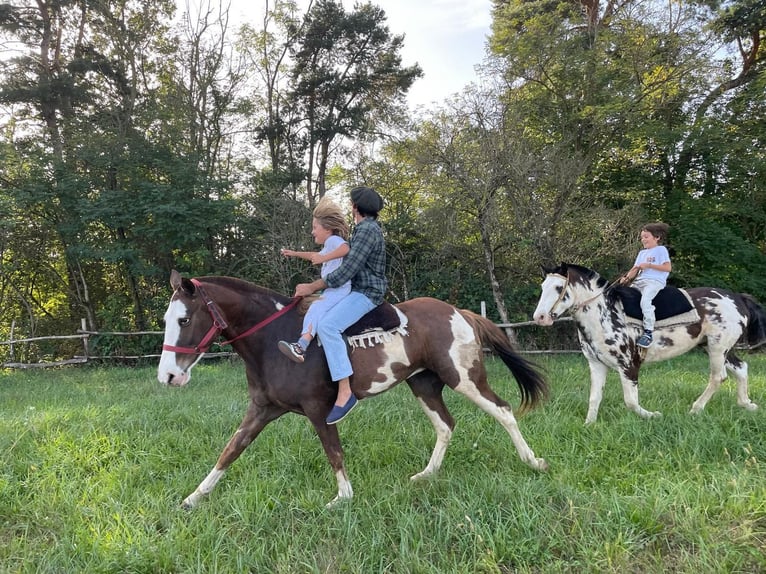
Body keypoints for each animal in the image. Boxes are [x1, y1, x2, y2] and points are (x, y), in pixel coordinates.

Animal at [158, 270, 552, 508]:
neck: (275, 339)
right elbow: (230, 451)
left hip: (465, 379)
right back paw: (427, 475)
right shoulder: (261, 410)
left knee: (503, 411)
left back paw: (533, 461)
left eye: (184, 319)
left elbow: (334, 452)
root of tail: (460, 312)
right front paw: (194, 497)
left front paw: (343, 498)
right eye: (166, 319)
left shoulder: (319, 410)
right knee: (445, 425)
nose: (168, 377)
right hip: (424, 384)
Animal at [536, 264, 766, 426]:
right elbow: (594, 398)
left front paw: (653, 415)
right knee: (741, 368)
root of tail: (737, 298)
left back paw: (695, 409)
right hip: (714, 347)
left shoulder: (628, 365)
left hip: (718, 348)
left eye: (558, 287)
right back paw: (747, 404)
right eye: (542, 287)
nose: (539, 317)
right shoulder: (597, 364)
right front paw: (589, 425)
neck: (605, 314)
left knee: (718, 377)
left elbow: (631, 402)